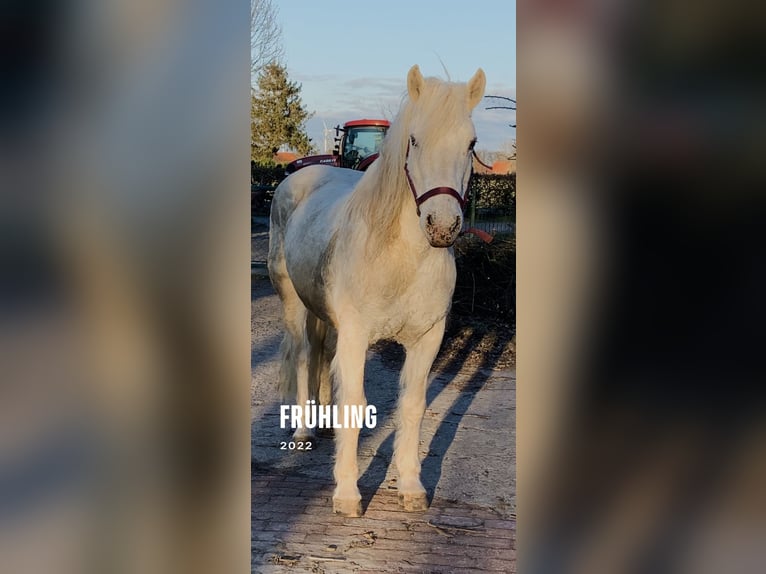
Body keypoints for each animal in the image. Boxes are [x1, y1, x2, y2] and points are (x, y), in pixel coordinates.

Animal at [268, 65, 486, 516]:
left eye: (471, 143)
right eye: (414, 140)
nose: (442, 226)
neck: (400, 259)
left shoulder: (427, 339)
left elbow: (412, 405)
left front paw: (411, 486)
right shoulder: (357, 335)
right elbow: (355, 401)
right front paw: (348, 494)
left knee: (322, 356)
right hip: (294, 303)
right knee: (303, 355)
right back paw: (303, 431)